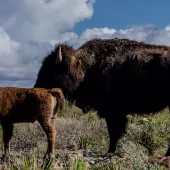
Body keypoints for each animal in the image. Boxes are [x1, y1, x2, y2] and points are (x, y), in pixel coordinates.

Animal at [33, 37, 170, 161]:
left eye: (51, 70)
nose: (36, 89)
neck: (84, 66)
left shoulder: (113, 113)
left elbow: (114, 132)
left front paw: (109, 152)